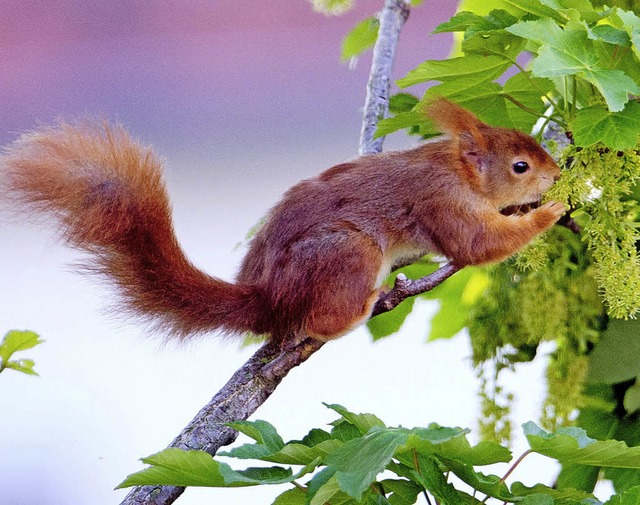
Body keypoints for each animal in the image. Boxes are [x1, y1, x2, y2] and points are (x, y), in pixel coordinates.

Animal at [1, 98, 560, 342]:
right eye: (520, 166)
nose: (556, 174)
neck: (456, 168)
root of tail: (267, 298)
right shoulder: (441, 202)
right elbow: (476, 244)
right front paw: (551, 211)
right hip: (346, 252)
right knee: (320, 321)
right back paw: (361, 306)